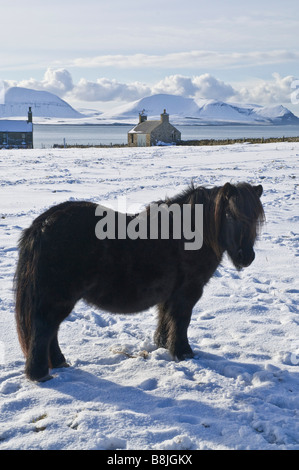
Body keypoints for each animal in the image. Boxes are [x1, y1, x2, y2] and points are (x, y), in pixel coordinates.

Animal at [14, 181, 264, 382]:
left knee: (51, 331)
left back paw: (58, 363)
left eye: (255, 219)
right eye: (231, 216)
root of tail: (42, 225)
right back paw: (40, 374)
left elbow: (165, 318)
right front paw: (184, 353)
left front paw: (163, 345)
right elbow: (181, 322)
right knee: (44, 329)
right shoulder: (187, 293)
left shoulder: (170, 294)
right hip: (58, 298)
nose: (247, 257)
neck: (189, 234)